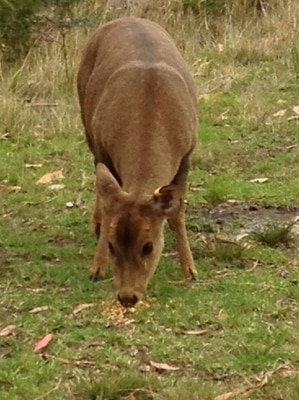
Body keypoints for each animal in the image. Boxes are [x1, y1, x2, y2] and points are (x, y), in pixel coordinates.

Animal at [77, 15, 199, 308]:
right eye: (111, 245)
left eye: (148, 246)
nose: (127, 296)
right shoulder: (103, 146)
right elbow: (108, 200)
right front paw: (96, 269)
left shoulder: (187, 153)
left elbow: (177, 211)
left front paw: (190, 270)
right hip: (86, 120)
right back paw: (95, 224)